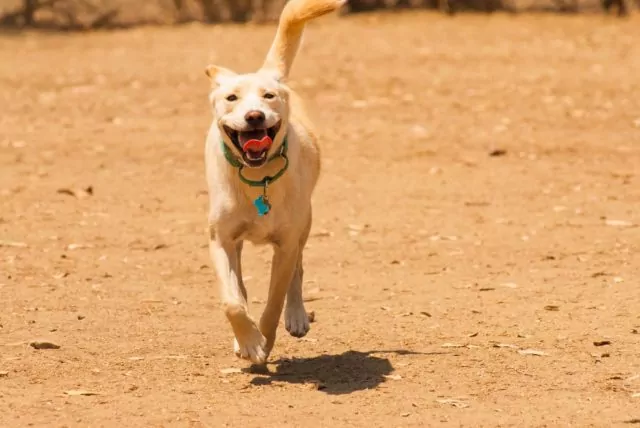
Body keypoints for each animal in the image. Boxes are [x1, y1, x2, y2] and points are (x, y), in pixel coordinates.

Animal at [204, 0, 344, 364]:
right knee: (240, 283)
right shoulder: (220, 240)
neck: (258, 178)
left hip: (305, 223)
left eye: (268, 96)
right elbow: (232, 301)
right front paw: (247, 340)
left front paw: (262, 342)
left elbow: (273, 302)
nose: (254, 116)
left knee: (298, 270)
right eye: (232, 98)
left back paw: (295, 315)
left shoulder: (286, 244)